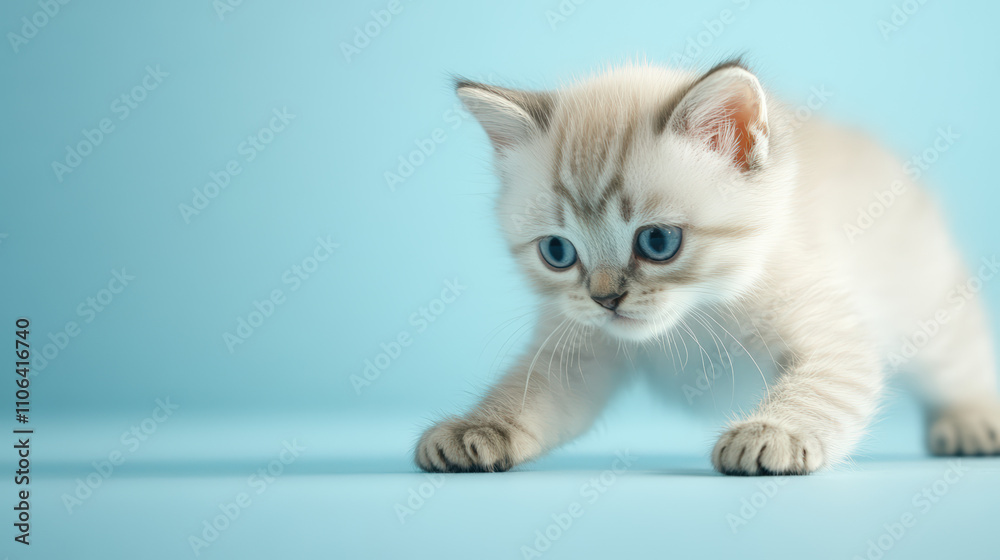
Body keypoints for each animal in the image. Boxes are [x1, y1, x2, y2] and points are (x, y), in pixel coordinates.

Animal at [414, 59, 1000, 474]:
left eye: (657, 241)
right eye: (558, 253)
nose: (605, 298)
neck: (697, 313)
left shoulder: (832, 336)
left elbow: (820, 391)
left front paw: (771, 434)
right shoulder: (574, 351)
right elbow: (524, 393)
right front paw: (476, 429)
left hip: (926, 310)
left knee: (961, 356)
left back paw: (973, 422)